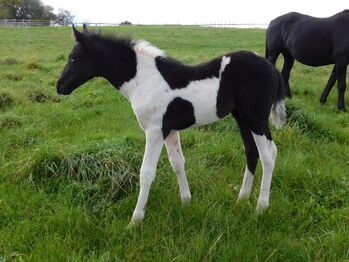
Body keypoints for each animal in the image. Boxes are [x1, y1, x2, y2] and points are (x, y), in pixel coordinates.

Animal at [56, 26, 286, 225]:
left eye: (74, 58)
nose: (59, 86)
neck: (144, 80)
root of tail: (271, 68)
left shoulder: (154, 132)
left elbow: (146, 172)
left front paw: (135, 220)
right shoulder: (170, 131)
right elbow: (177, 163)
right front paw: (186, 201)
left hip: (256, 118)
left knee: (268, 154)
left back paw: (260, 207)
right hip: (241, 117)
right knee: (251, 151)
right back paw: (241, 199)